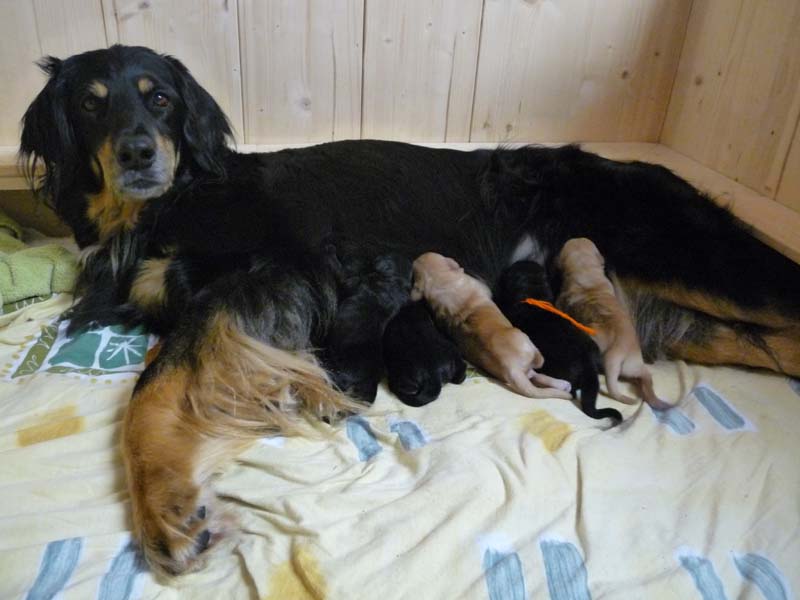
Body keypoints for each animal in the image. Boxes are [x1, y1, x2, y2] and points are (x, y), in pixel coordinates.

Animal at [411, 252, 573, 398]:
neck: (441, 283)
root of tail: (511, 368)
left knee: (533, 375)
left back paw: (562, 385)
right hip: (522, 337)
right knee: (538, 364)